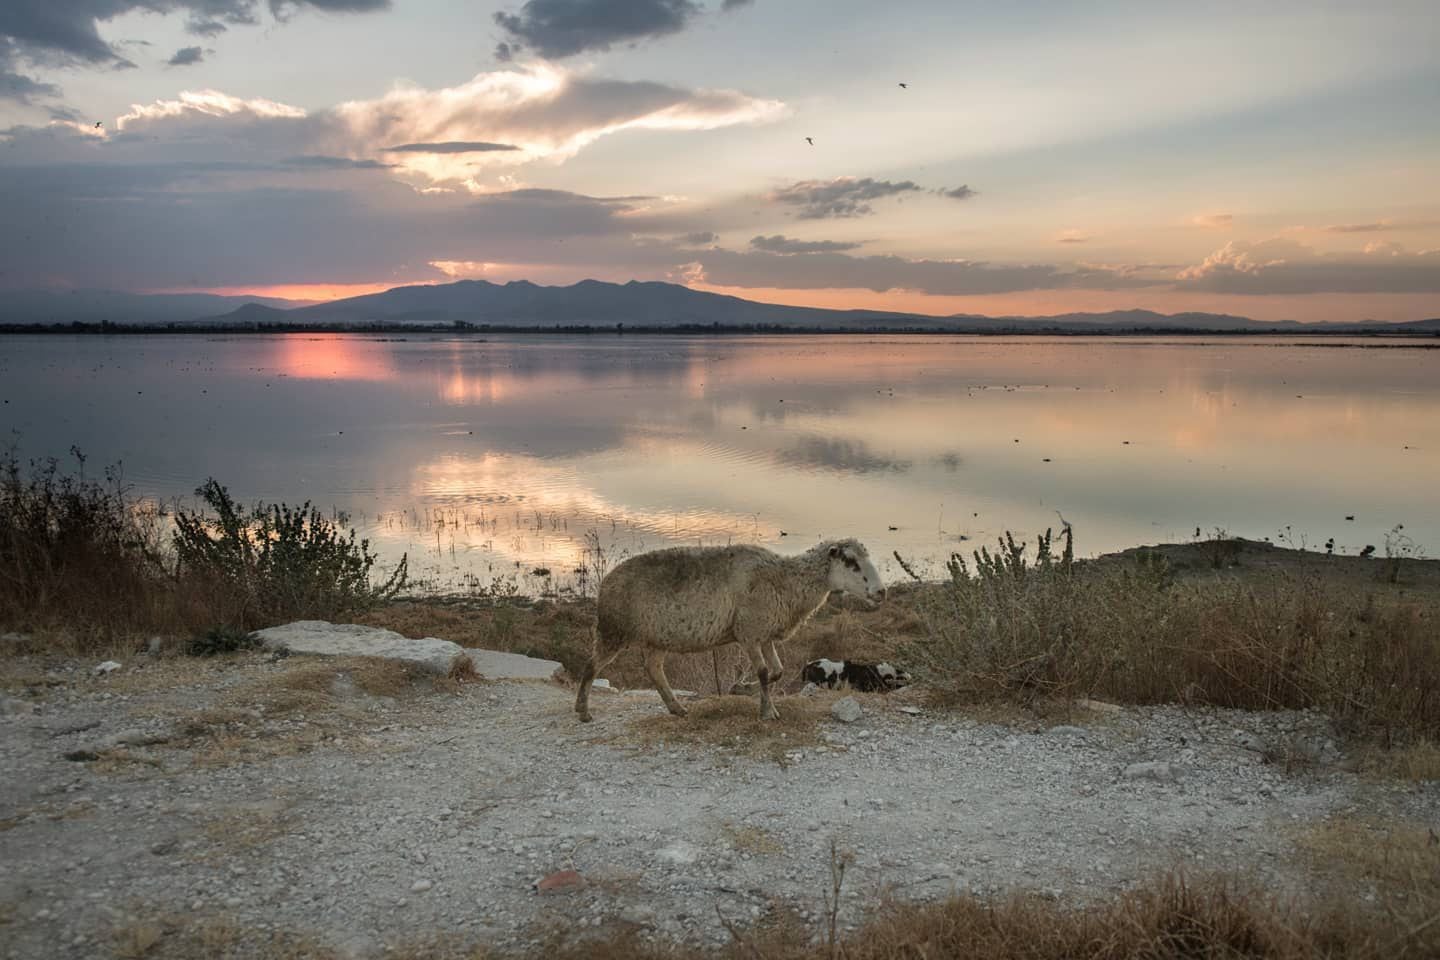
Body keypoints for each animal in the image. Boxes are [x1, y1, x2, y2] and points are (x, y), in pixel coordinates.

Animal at [570, 541, 881, 719]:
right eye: (851, 562)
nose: (882, 592)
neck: (785, 579)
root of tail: (606, 582)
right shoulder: (750, 632)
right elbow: (765, 672)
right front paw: (767, 712)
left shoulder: (763, 632)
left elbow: (777, 671)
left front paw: (741, 689)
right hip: (613, 629)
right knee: (591, 665)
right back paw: (583, 711)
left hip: (656, 637)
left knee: (654, 669)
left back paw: (676, 708)